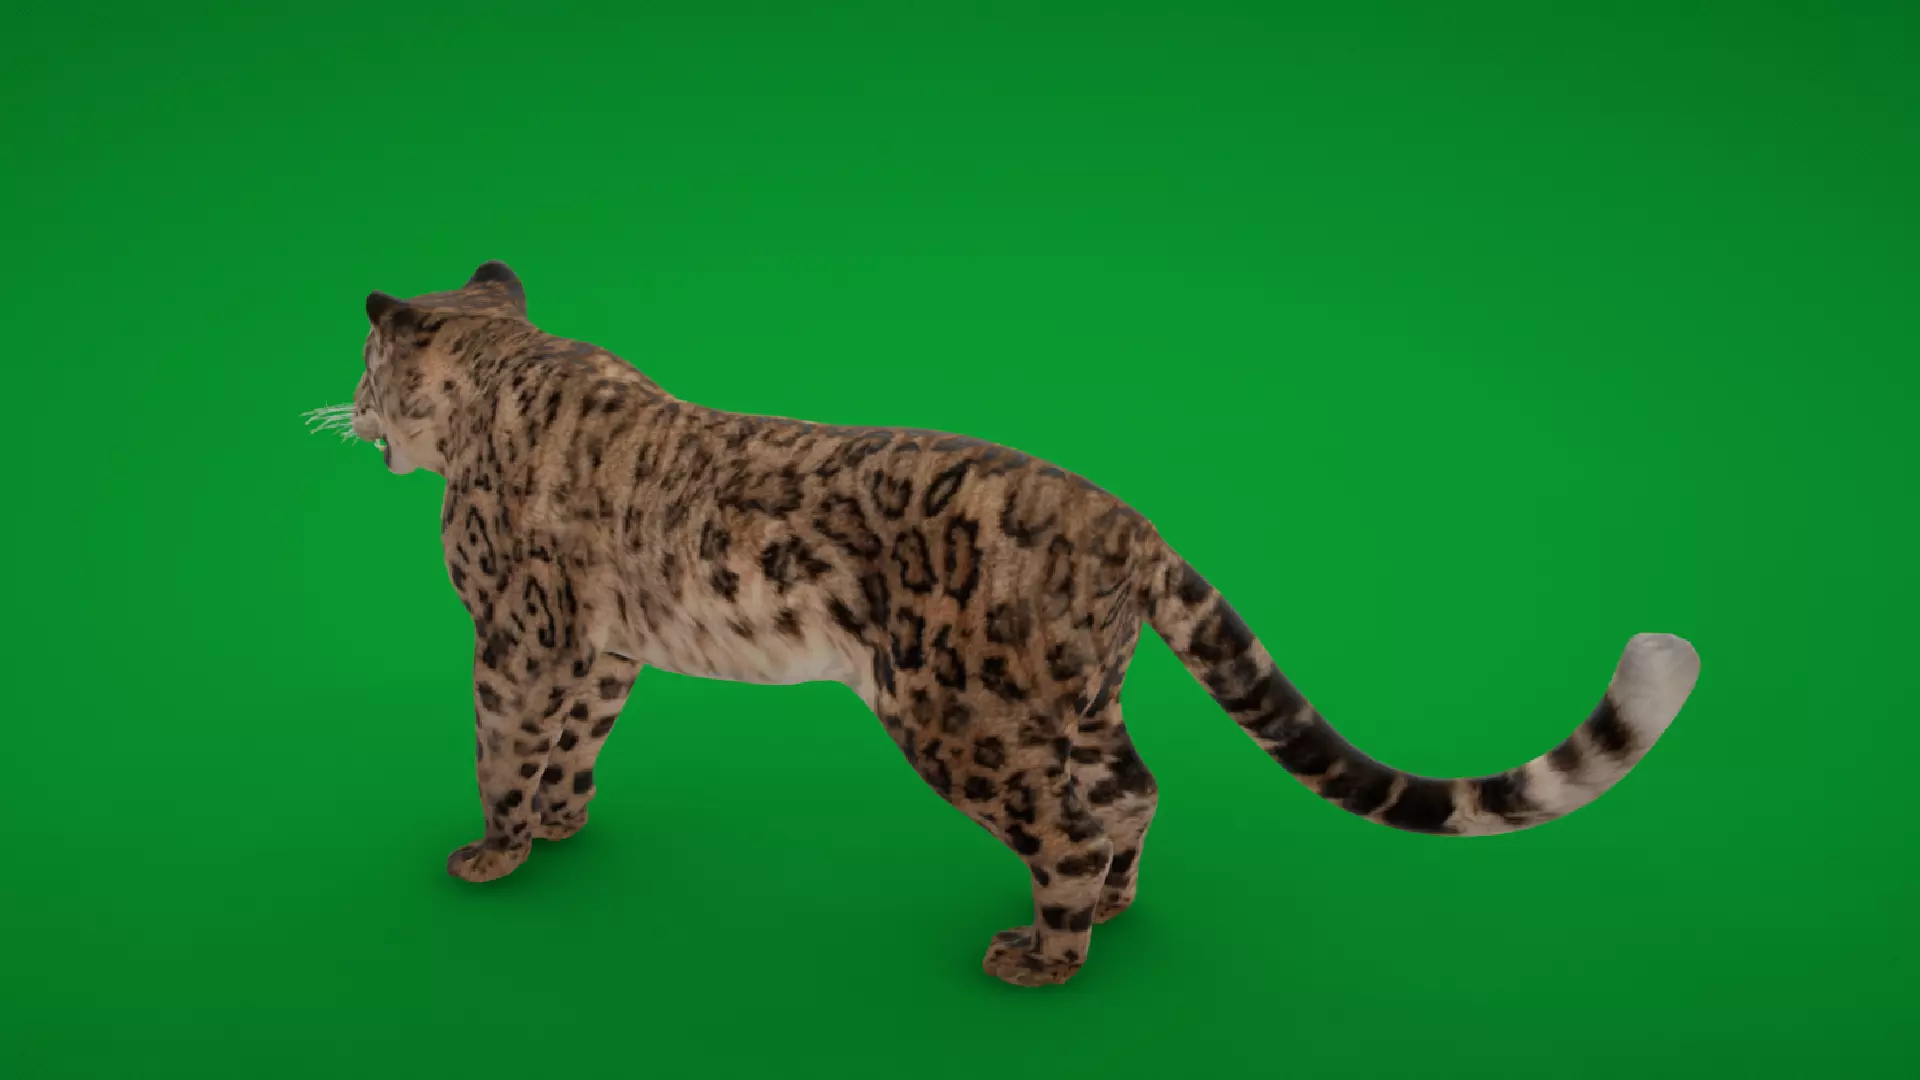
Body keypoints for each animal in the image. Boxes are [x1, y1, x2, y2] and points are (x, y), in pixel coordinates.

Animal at [308, 260, 1702, 987]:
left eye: (369, 364)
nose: (351, 411)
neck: (505, 372)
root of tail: (1128, 525)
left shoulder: (518, 636)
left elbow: (503, 742)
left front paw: (493, 852)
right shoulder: (599, 646)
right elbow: (576, 744)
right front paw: (558, 827)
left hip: (958, 714)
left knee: (1070, 820)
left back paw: (1044, 954)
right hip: (1071, 698)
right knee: (1131, 790)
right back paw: (1112, 915)